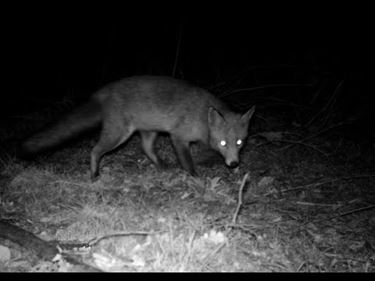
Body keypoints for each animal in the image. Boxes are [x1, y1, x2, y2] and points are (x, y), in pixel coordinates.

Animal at [19, 75, 256, 179]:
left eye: (239, 142)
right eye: (222, 142)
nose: (234, 164)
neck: (200, 116)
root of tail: (102, 91)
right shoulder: (178, 137)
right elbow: (188, 163)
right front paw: (195, 178)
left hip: (148, 132)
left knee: (146, 149)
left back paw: (161, 166)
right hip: (119, 135)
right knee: (95, 150)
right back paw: (94, 173)